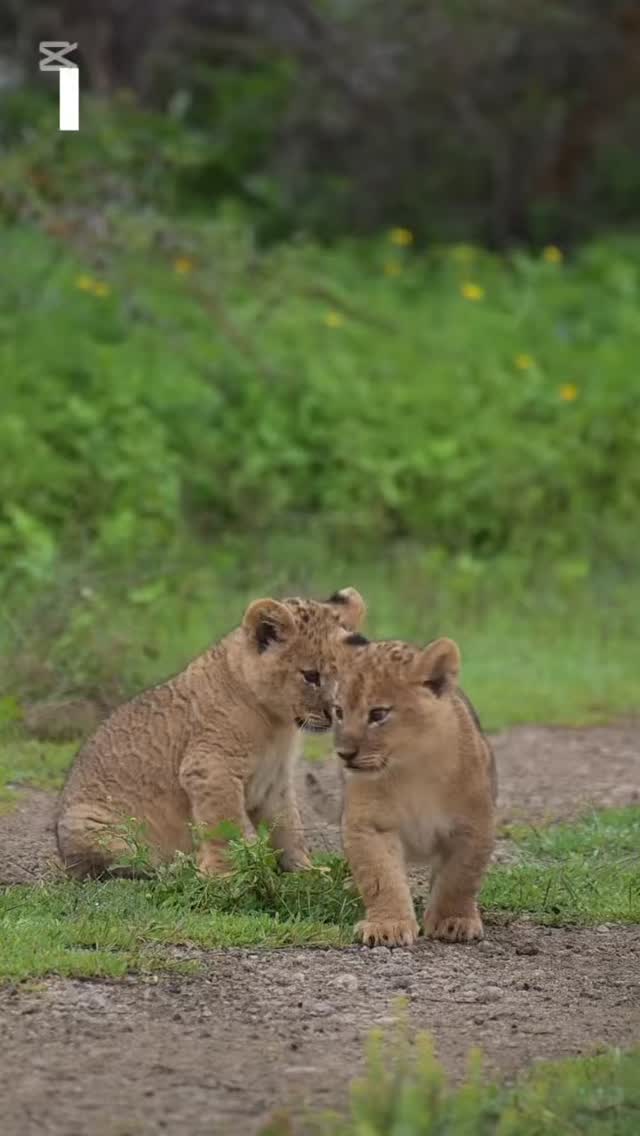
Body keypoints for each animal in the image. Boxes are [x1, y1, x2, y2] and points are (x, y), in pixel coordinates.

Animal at [56, 588, 366, 879]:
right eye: (311, 676)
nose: (337, 712)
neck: (277, 724)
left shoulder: (273, 780)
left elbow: (288, 826)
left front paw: (306, 871)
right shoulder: (209, 768)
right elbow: (224, 825)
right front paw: (224, 874)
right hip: (90, 825)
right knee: (124, 867)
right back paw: (181, 865)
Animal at [333, 633, 496, 947]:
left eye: (378, 714)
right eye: (338, 711)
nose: (344, 754)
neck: (412, 767)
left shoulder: (473, 825)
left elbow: (459, 878)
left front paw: (453, 921)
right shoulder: (369, 826)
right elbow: (381, 877)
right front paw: (387, 925)